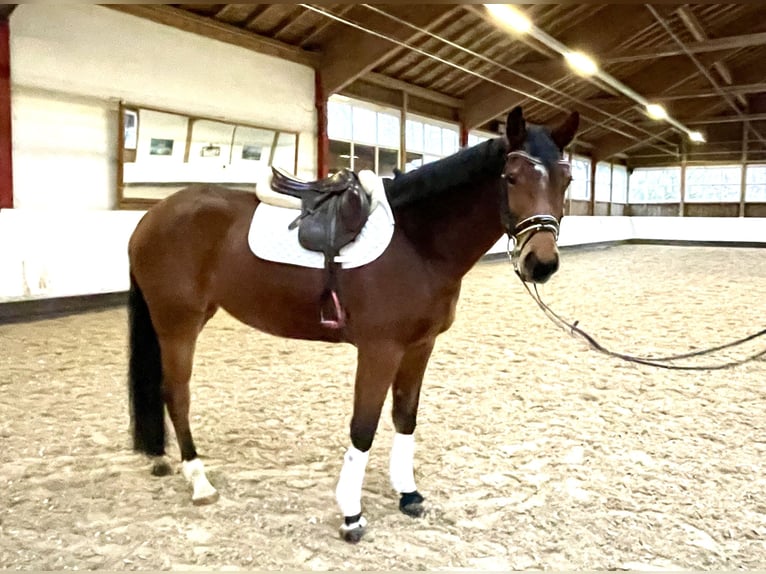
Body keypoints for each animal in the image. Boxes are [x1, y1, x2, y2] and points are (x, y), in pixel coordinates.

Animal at [127, 104, 584, 544]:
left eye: (567, 179)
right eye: (511, 177)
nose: (542, 264)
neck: (417, 242)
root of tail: (152, 217)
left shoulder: (420, 346)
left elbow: (405, 417)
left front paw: (408, 493)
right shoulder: (380, 350)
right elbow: (363, 428)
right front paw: (351, 515)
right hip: (178, 324)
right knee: (177, 394)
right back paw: (198, 480)